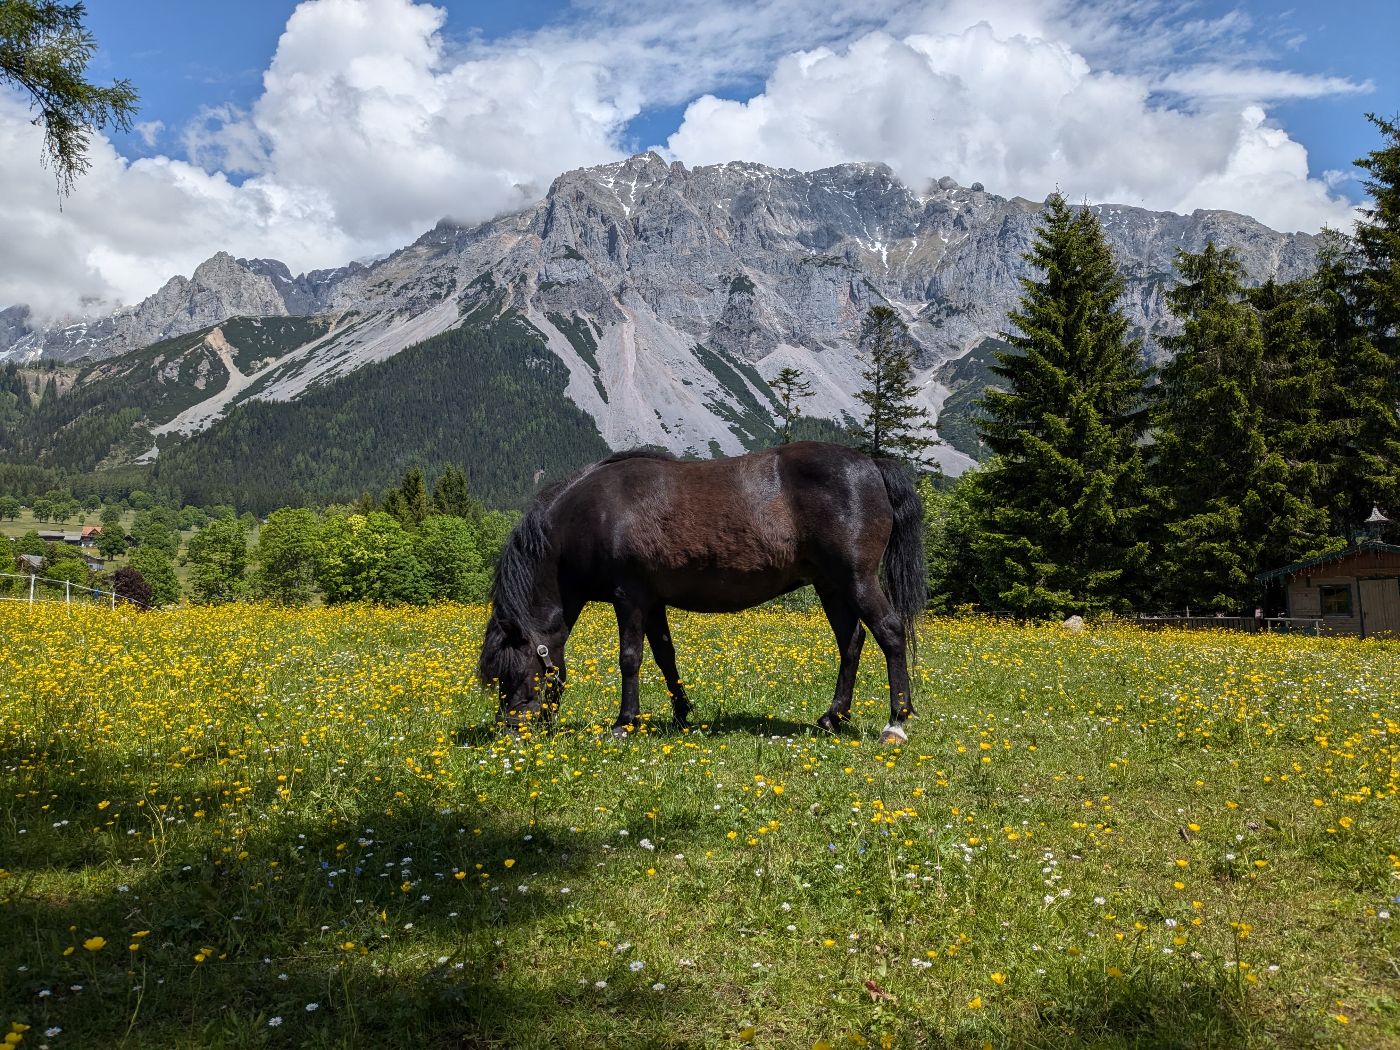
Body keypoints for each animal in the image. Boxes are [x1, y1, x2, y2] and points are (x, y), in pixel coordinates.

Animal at [477, 441, 926, 745]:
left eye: (511, 674)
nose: (510, 734)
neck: (593, 515)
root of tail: (871, 464)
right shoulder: (652, 602)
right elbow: (664, 657)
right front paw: (681, 715)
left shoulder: (629, 598)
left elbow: (630, 659)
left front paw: (625, 722)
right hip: (831, 585)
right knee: (851, 641)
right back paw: (833, 717)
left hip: (857, 579)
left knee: (889, 633)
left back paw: (896, 722)